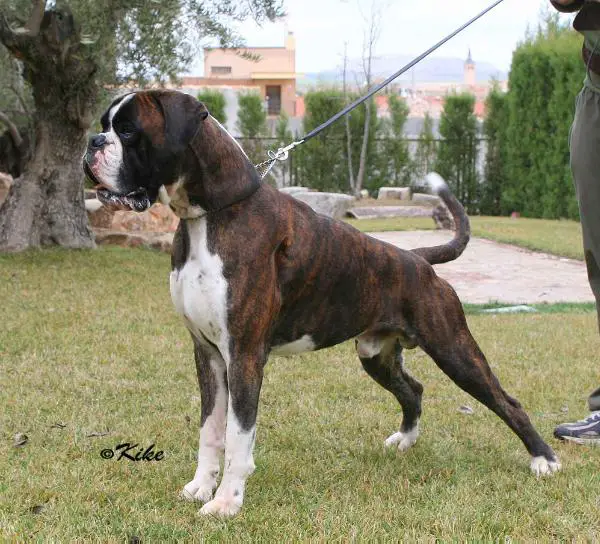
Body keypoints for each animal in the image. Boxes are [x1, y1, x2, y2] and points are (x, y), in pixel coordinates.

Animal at [83, 90, 560, 517]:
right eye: (107, 124)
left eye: (128, 130)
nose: (93, 141)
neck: (209, 214)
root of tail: (418, 260)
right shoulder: (208, 355)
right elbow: (210, 431)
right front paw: (200, 488)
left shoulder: (244, 356)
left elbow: (238, 436)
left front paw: (226, 503)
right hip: (375, 354)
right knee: (414, 389)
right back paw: (405, 439)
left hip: (454, 350)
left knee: (507, 402)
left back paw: (544, 459)